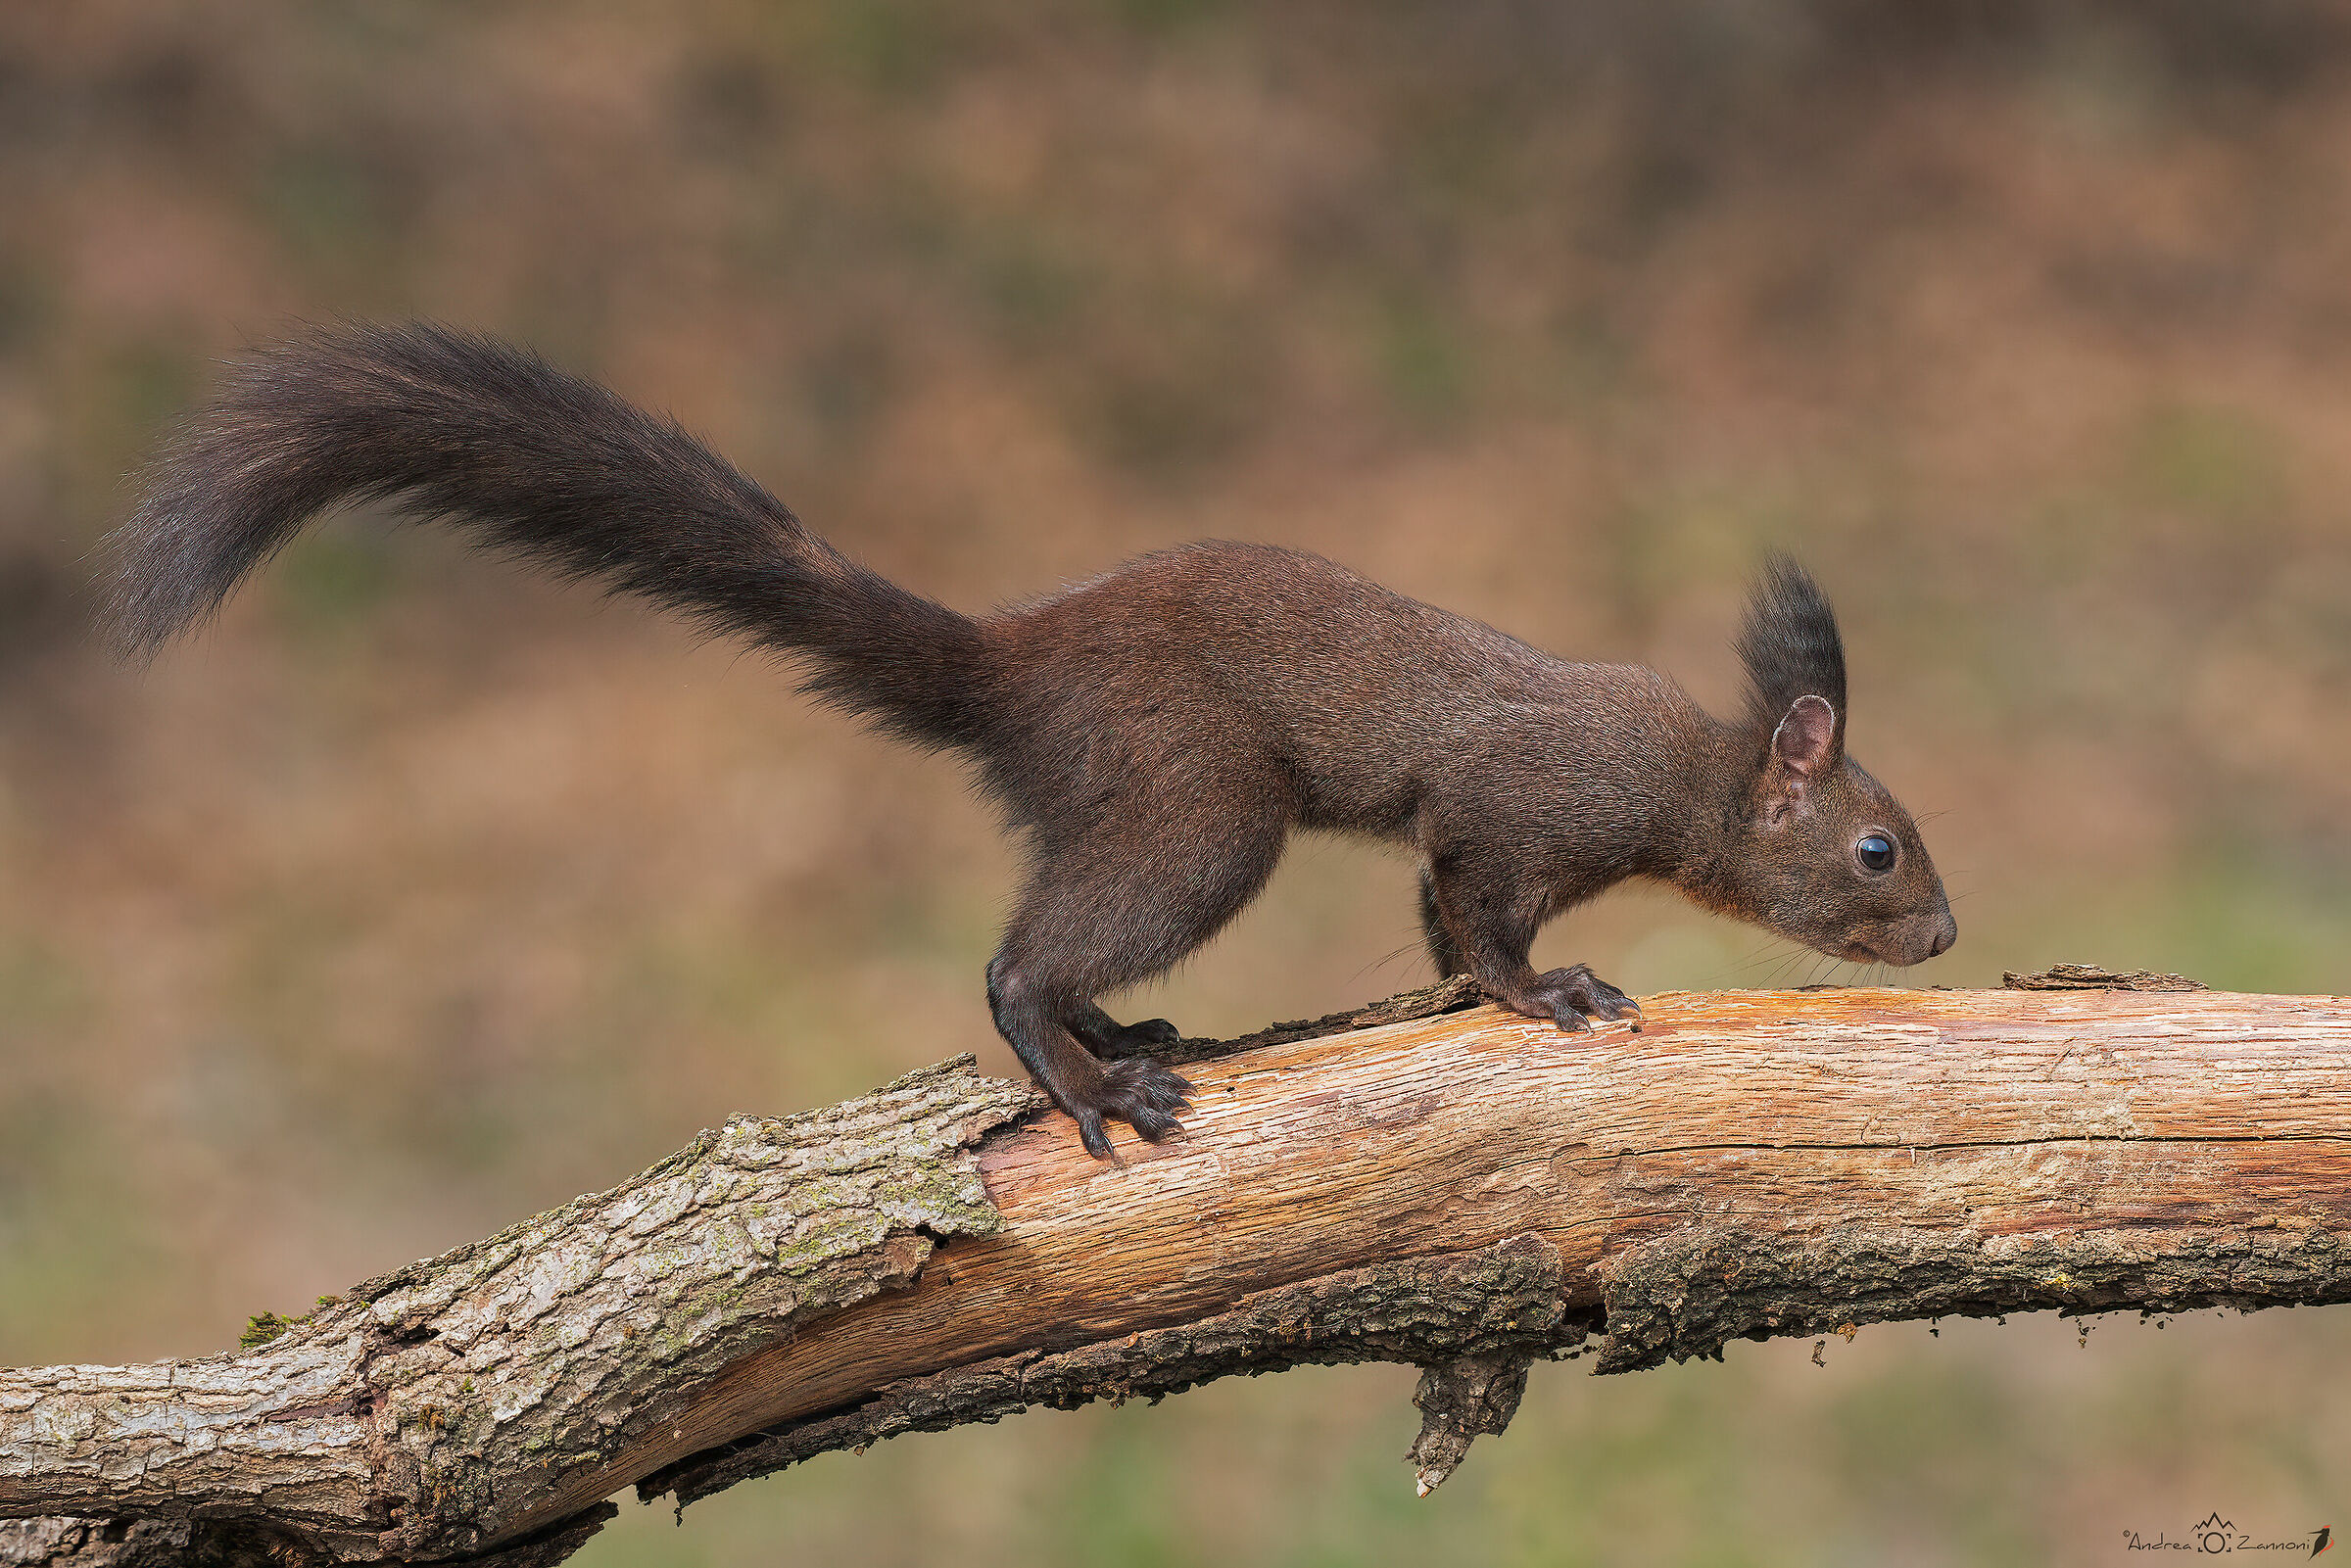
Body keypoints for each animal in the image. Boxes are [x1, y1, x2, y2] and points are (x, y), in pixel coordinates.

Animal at [106, 322, 1956, 1158]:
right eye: (1879, 844)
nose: (1947, 932)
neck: (1690, 774)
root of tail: (1015, 666)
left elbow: (1432, 924)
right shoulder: (1518, 809)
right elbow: (1482, 922)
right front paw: (1546, 994)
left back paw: (1122, 1028)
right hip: (1202, 810)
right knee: (1012, 967)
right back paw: (1093, 1078)